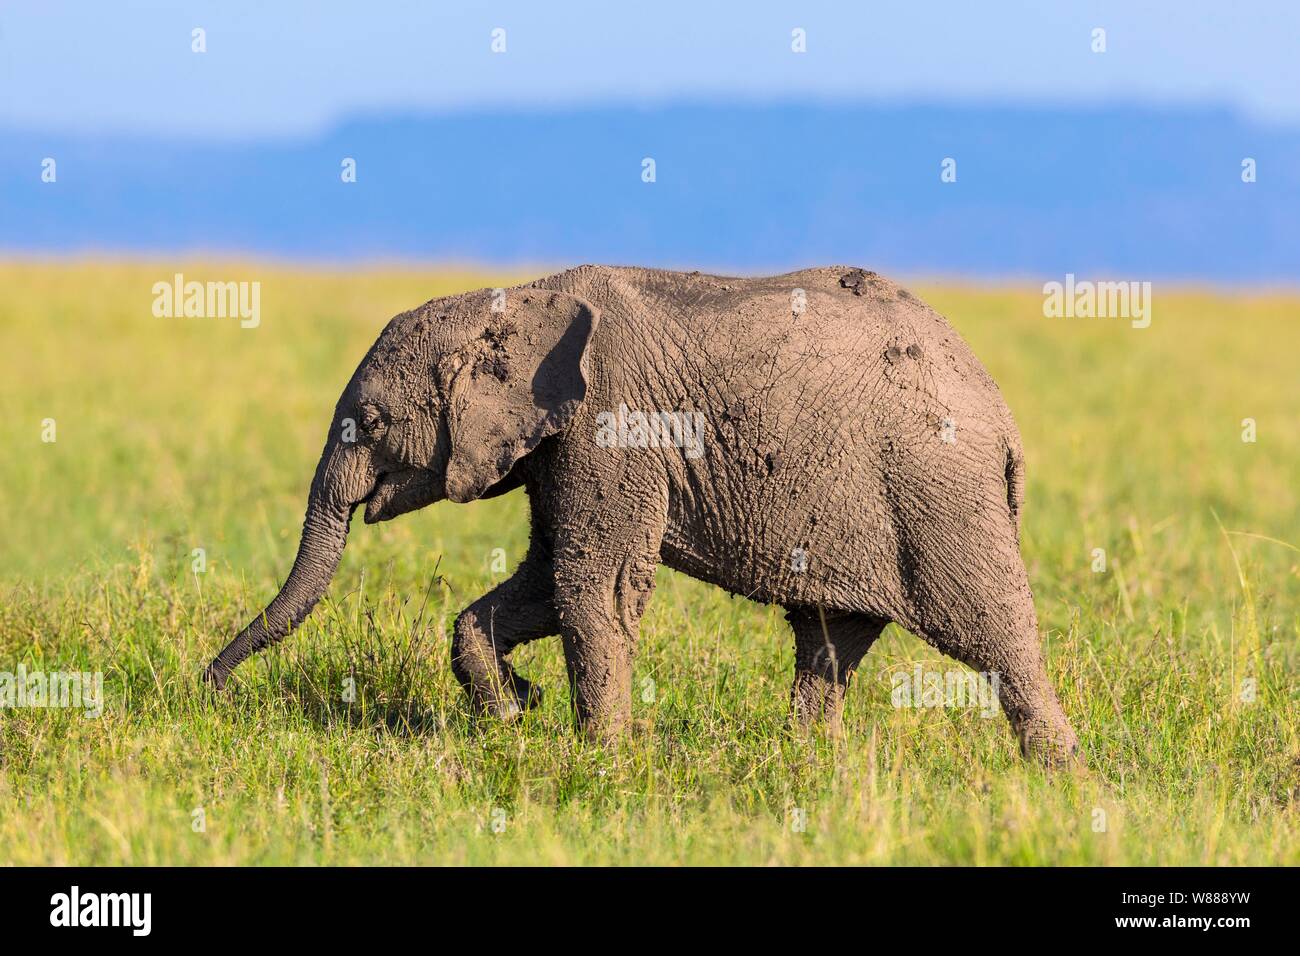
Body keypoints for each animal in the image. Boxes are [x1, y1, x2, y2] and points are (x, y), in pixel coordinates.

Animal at [202, 265, 1076, 764]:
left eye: (375, 421)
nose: (209, 689)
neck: (515, 300)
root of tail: (1004, 421)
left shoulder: (610, 427)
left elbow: (594, 585)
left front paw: (598, 761)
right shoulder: (558, 442)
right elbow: (541, 582)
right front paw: (514, 715)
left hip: (938, 494)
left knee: (994, 634)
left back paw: (1060, 776)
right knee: (831, 639)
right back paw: (807, 770)